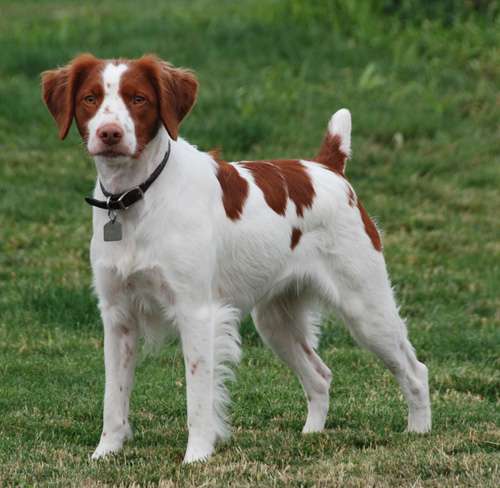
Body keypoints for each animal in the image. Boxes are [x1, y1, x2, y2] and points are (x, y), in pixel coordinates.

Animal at [42, 55, 430, 464]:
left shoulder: (197, 312)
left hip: (366, 309)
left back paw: (418, 432)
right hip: (275, 320)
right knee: (320, 375)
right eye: (89, 98)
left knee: (415, 370)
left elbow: (198, 397)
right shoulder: (117, 317)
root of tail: (328, 168)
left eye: (138, 98)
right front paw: (106, 453)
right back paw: (311, 433)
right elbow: (113, 398)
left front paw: (196, 456)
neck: (136, 198)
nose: (110, 134)